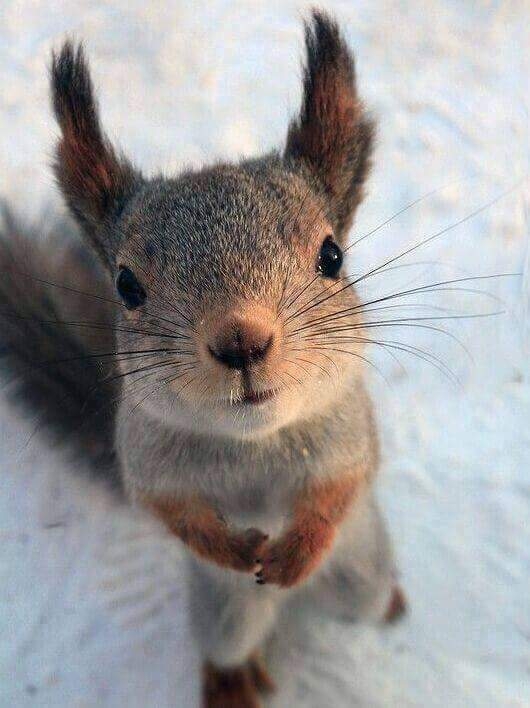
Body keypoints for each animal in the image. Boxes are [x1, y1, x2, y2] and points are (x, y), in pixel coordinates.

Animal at [0, 10, 407, 707]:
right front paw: (237, 551)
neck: (253, 443)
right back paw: (231, 680)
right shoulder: (145, 457)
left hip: (363, 570)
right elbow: (170, 512)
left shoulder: (349, 434)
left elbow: (339, 489)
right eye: (126, 286)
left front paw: (296, 550)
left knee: (362, 595)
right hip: (225, 613)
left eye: (331, 255)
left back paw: (386, 601)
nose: (241, 341)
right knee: (227, 640)